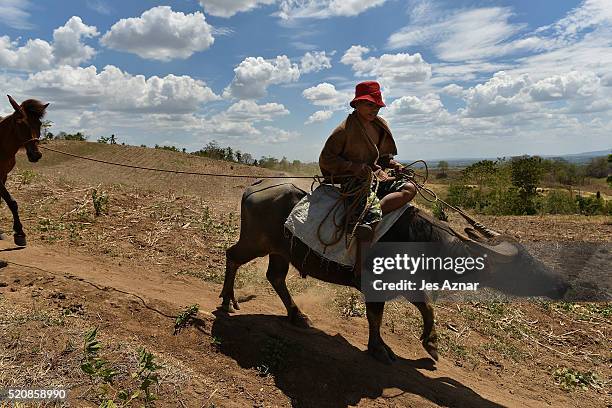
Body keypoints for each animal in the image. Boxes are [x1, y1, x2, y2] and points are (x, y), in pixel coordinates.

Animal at [0, 96, 47, 247]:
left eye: (39, 123)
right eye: (19, 123)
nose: (36, 155)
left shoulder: (4, 176)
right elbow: (12, 202)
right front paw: (19, 232)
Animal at [220, 179, 568, 364]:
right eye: (524, 263)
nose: (561, 284)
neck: (426, 241)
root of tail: (257, 187)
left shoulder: (409, 284)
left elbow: (427, 308)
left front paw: (432, 344)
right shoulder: (377, 285)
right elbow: (376, 316)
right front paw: (379, 349)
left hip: (281, 251)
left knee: (275, 278)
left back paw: (297, 315)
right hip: (255, 243)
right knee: (232, 256)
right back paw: (226, 302)